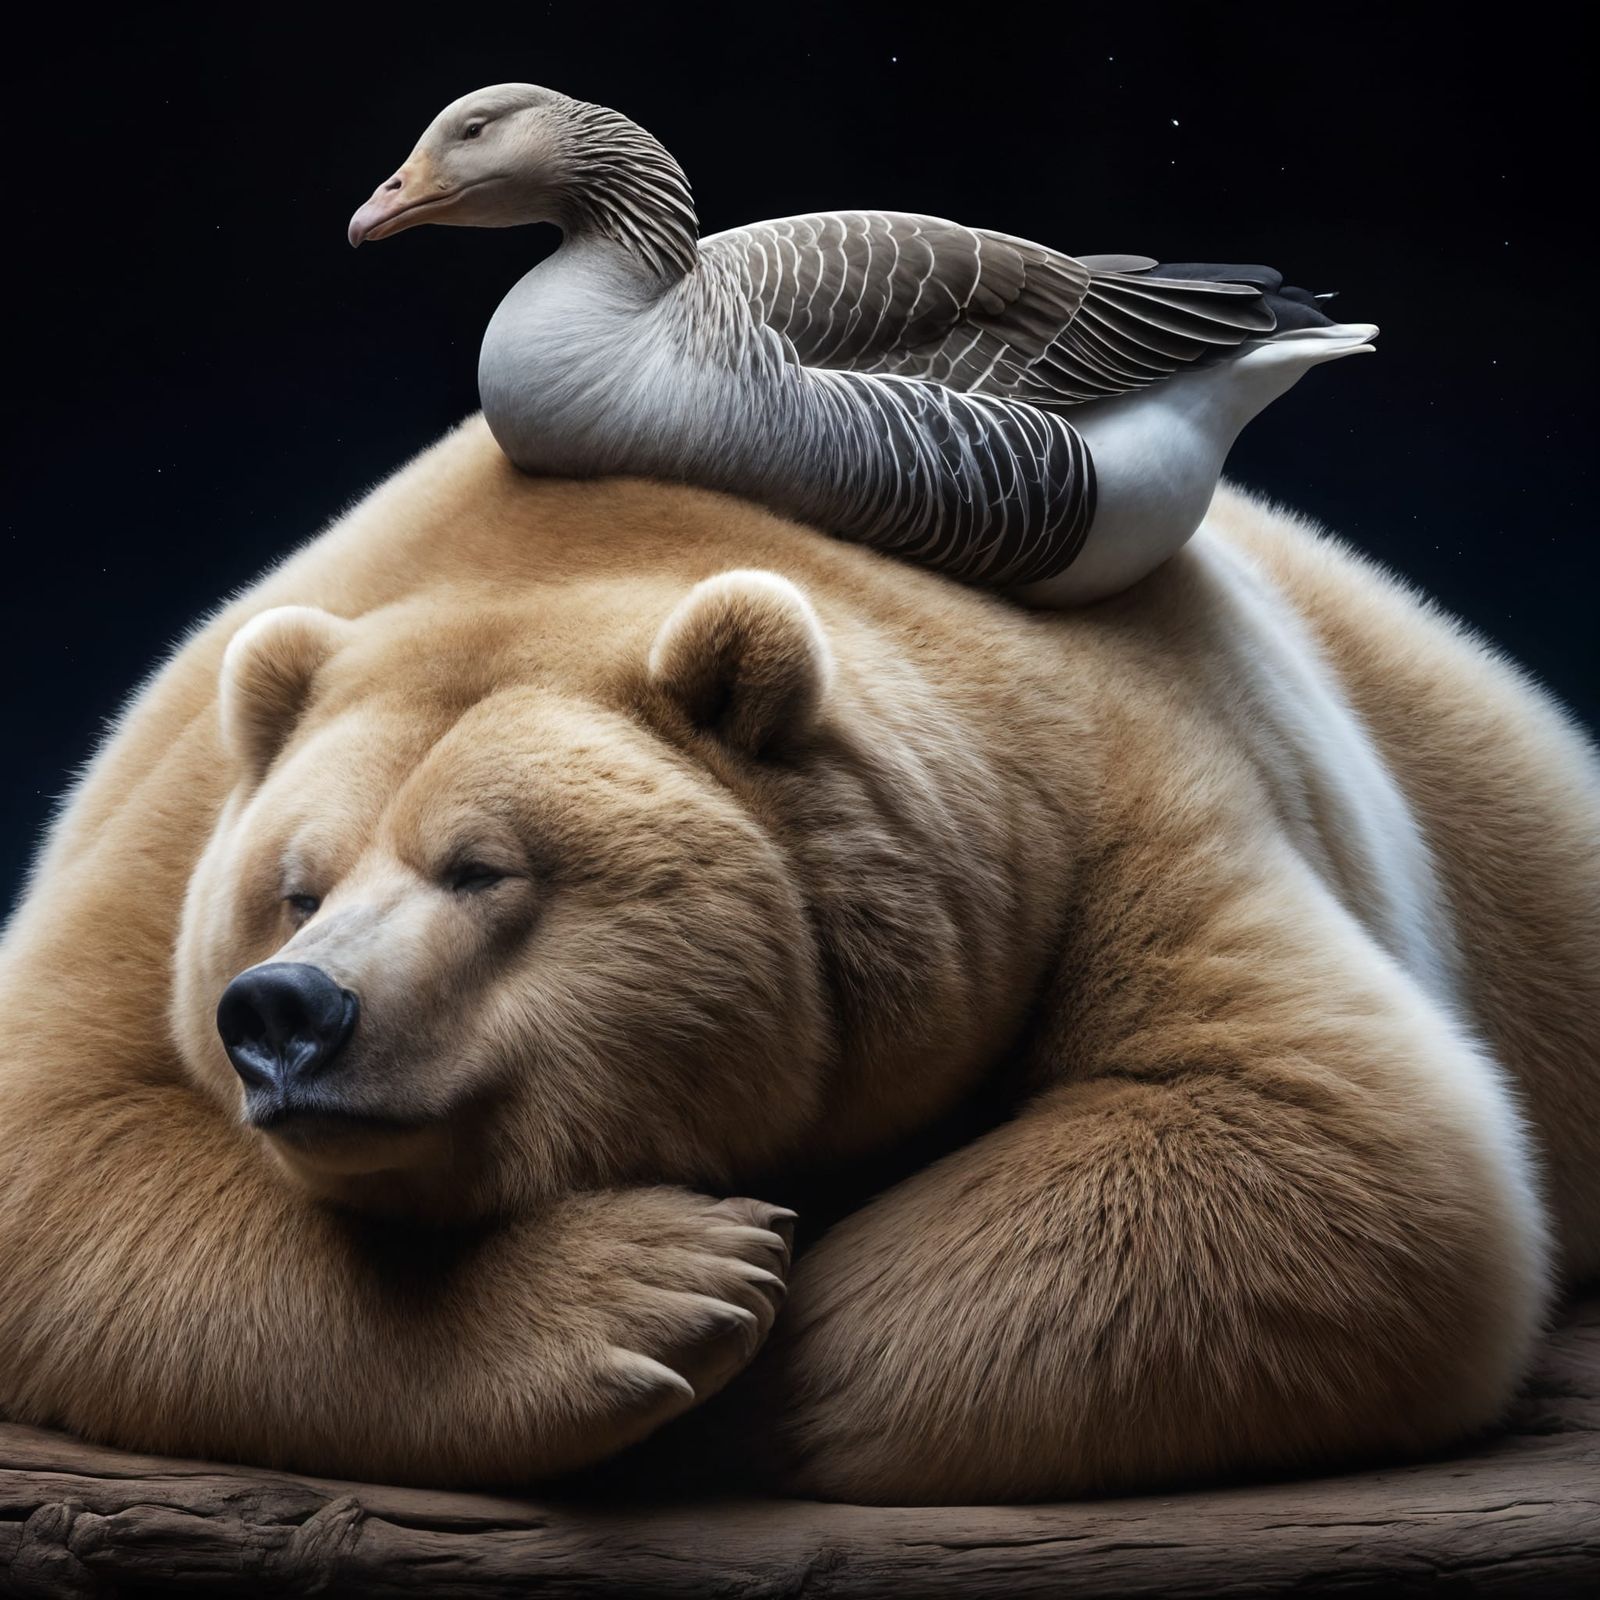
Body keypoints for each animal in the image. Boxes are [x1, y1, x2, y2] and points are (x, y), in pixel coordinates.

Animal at [0, 414, 1595, 1504]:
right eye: (293, 889)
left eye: (480, 869)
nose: (287, 1014)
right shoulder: (162, 831)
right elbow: (65, 1142)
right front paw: (656, 1291)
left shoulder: (1108, 800)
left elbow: (1321, 1141)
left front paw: (748, 1349)